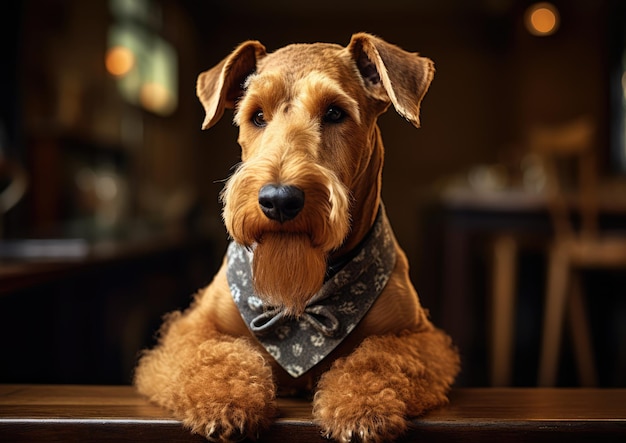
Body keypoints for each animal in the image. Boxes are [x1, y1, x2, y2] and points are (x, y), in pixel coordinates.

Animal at [135, 33, 458, 442]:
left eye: (335, 112)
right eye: (257, 115)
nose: (278, 200)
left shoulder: (419, 338)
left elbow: (378, 359)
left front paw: (364, 410)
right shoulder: (191, 331)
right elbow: (216, 356)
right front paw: (226, 403)